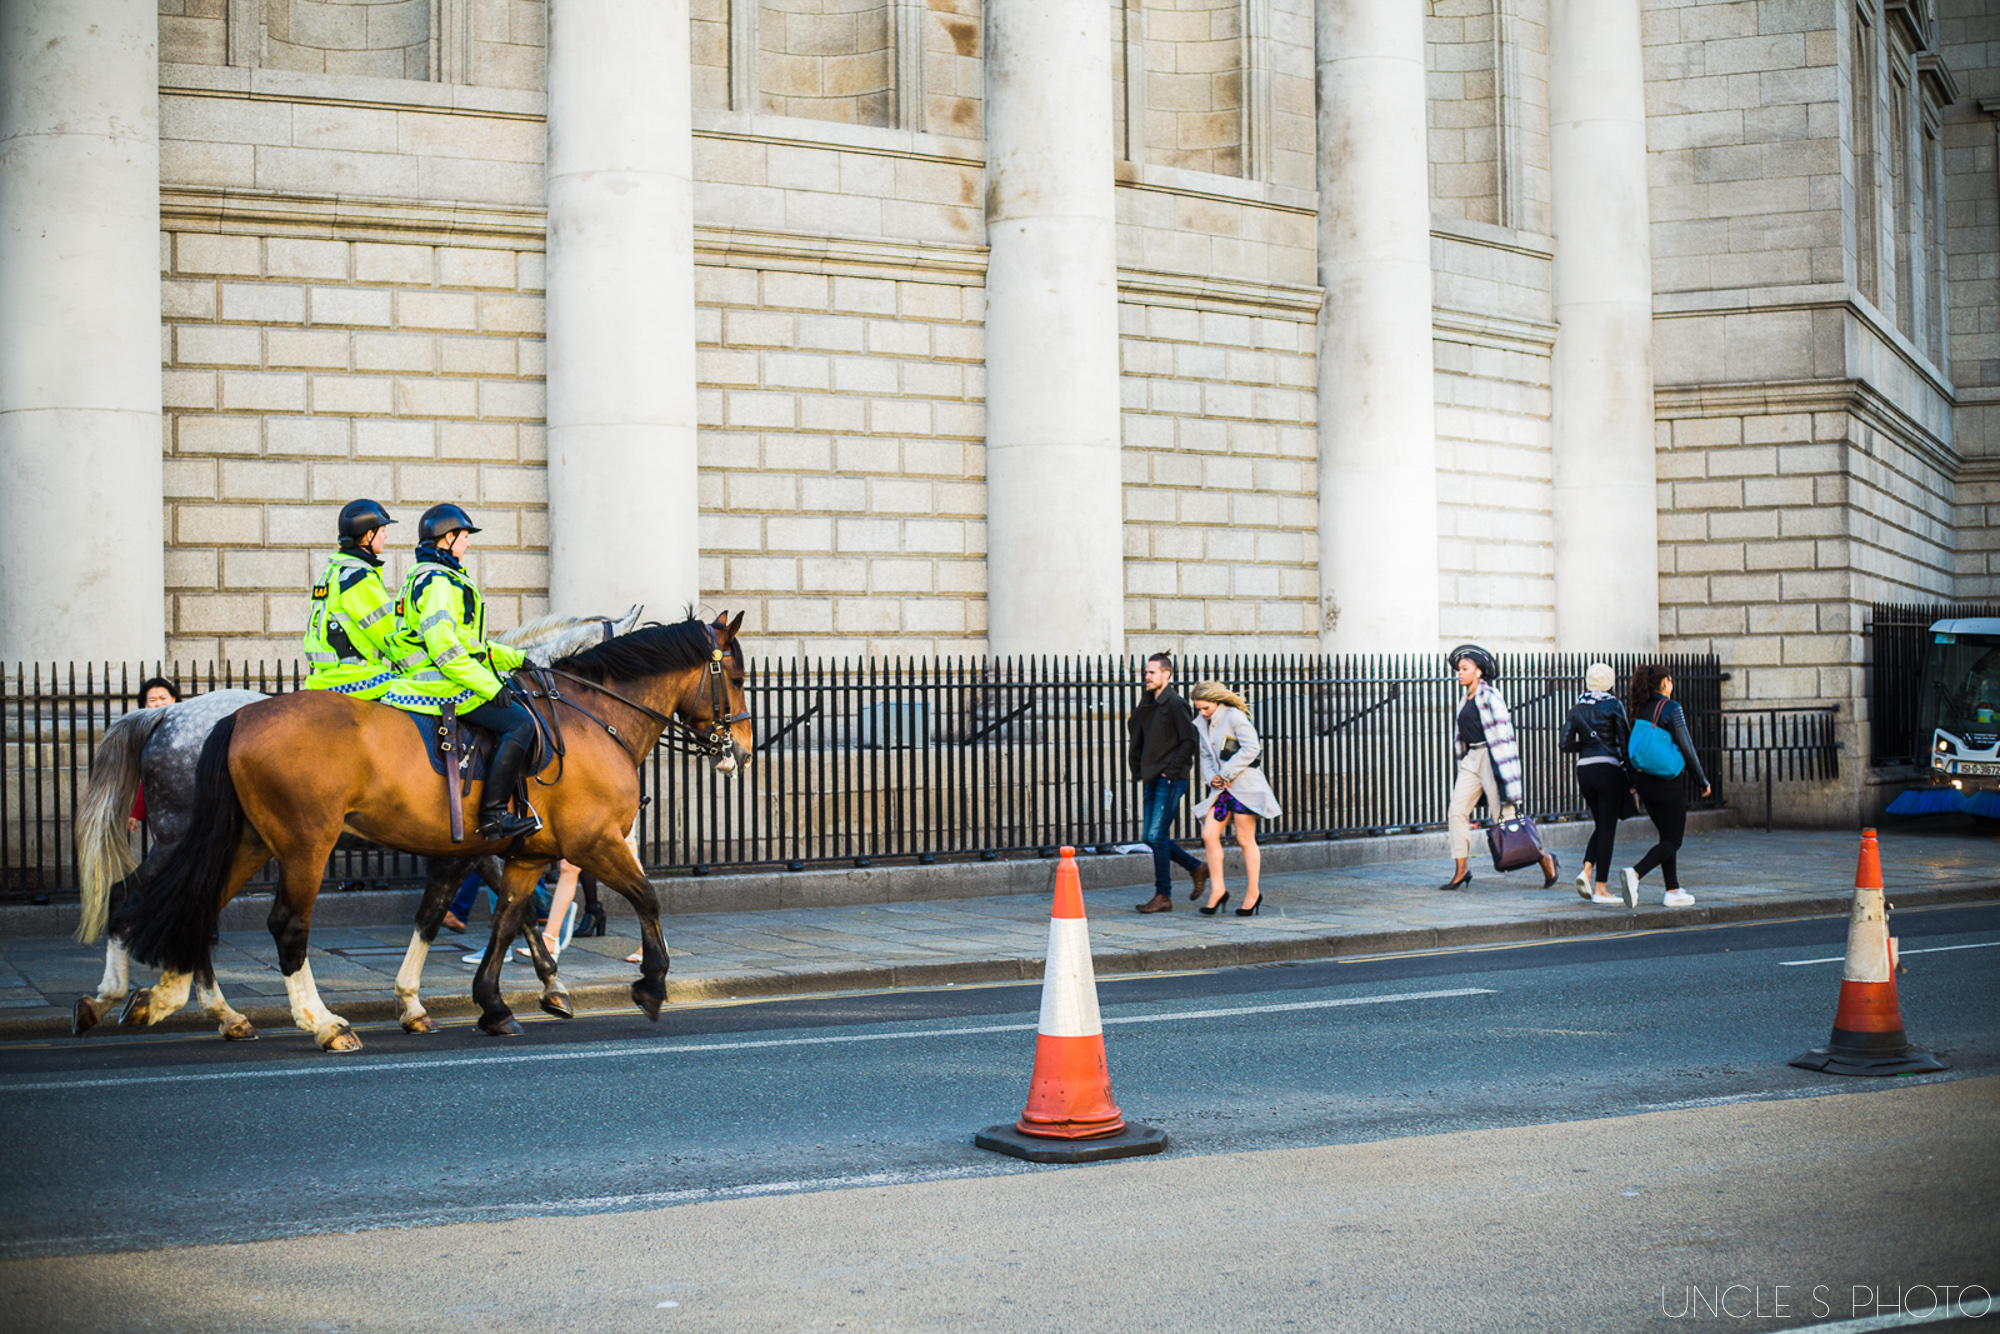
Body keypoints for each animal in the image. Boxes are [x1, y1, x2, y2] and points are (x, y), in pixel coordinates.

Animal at [111, 616, 752, 1056]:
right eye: (738, 676)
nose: (743, 751)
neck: (589, 717)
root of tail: (231, 717)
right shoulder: (592, 843)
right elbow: (647, 897)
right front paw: (650, 984)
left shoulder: (520, 853)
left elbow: (497, 919)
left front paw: (492, 1003)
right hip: (299, 844)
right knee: (279, 923)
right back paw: (320, 1023)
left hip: (246, 843)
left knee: (192, 908)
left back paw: (181, 1005)